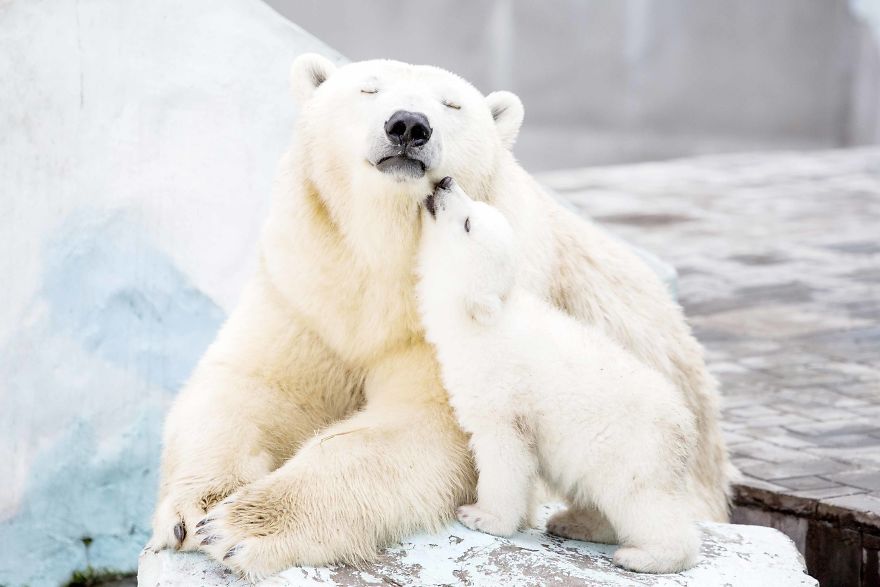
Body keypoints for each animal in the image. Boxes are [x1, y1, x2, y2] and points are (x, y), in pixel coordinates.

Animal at [416, 177, 700, 573]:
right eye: (476, 209)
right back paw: (573, 522)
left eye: (469, 222)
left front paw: (482, 516)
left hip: (632, 451)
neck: (481, 319)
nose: (445, 181)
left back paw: (643, 555)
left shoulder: (500, 388)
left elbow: (505, 450)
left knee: (643, 503)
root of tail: (685, 427)